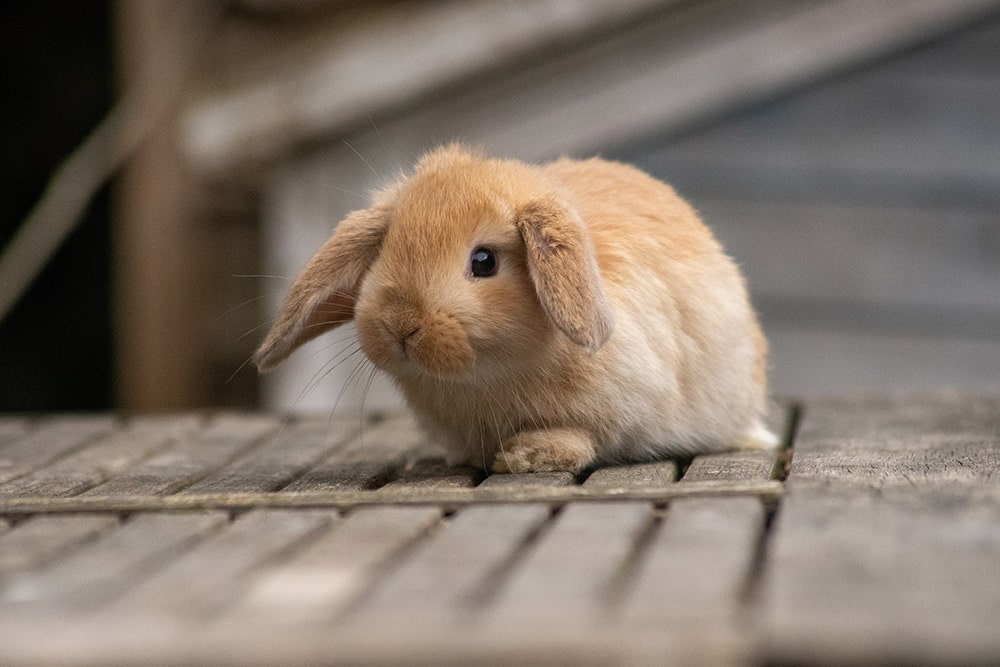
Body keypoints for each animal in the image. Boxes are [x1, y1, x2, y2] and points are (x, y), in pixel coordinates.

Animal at [254, 145, 777, 473]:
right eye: (386, 248)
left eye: (484, 261)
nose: (400, 325)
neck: (485, 379)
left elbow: (582, 436)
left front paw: (527, 457)